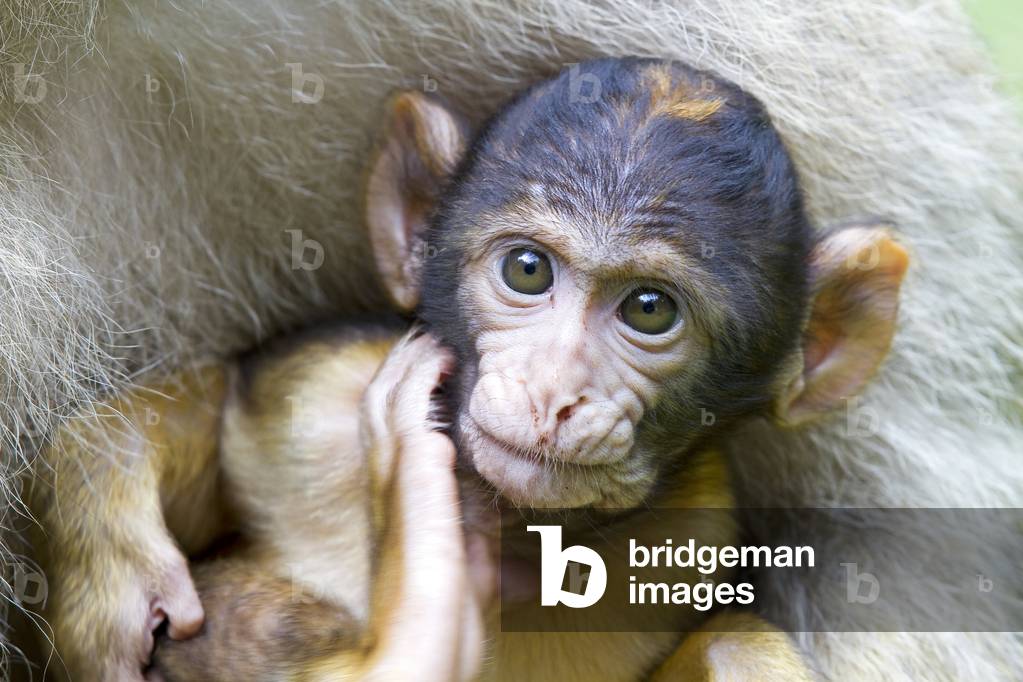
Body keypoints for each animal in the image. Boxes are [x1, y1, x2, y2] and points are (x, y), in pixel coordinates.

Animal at [26, 57, 910, 681]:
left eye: (650, 310)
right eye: (526, 269)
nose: (552, 392)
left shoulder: (696, 527)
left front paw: (407, 464)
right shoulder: (315, 392)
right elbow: (225, 411)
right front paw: (111, 566)